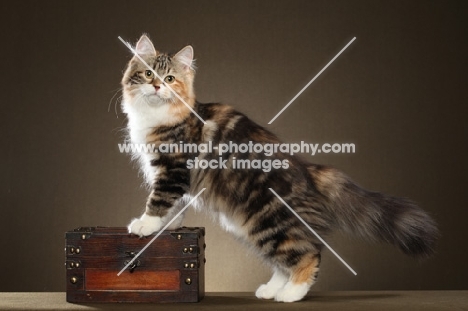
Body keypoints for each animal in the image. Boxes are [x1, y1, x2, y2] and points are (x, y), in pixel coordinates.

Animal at [120, 35, 438, 304]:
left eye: (170, 79)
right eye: (148, 74)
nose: (157, 86)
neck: (155, 115)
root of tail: (308, 170)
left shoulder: (173, 168)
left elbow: (159, 199)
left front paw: (145, 224)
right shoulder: (172, 175)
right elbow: (176, 205)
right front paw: (168, 225)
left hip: (268, 219)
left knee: (309, 255)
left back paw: (292, 293)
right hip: (250, 225)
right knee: (284, 259)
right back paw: (273, 289)